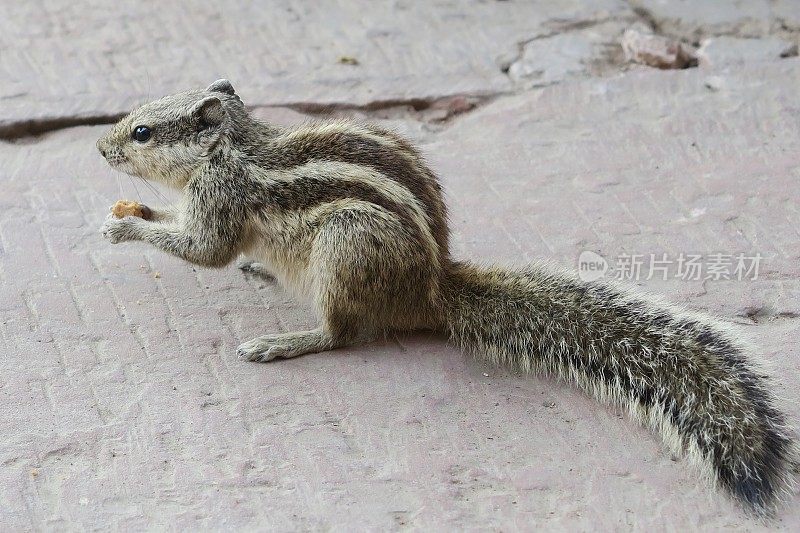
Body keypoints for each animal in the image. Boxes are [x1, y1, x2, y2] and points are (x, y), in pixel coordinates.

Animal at [100, 79, 792, 516]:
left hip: (346, 247)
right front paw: (137, 212)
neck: (233, 148)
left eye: (142, 131)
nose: (100, 146)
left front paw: (125, 227)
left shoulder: (220, 199)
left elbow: (205, 250)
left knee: (343, 333)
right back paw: (268, 275)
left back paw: (285, 340)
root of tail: (432, 289)